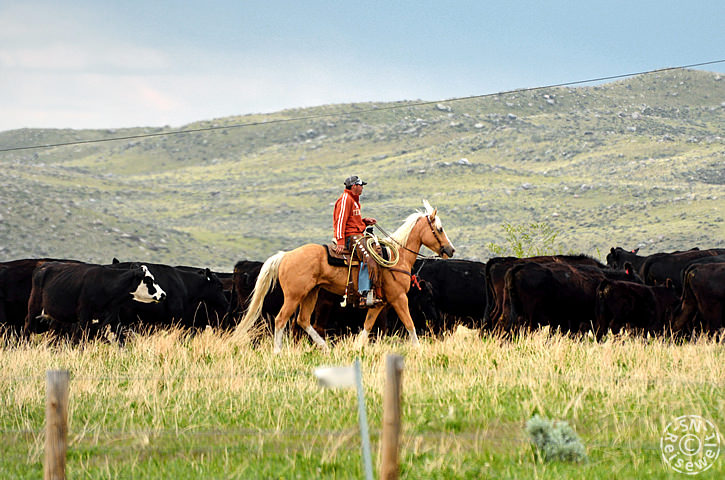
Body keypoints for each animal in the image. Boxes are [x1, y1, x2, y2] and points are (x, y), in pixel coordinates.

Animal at [24, 262, 165, 340]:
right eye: (148, 280)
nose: (163, 294)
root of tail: (44, 265)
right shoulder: (84, 316)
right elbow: (81, 339)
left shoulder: (113, 317)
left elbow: (120, 339)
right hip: (34, 307)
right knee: (28, 326)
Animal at [240, 200, 455, 352]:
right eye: (440, 229)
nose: (450, 250)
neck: (398, 257)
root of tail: (285, 255)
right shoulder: (398, 298)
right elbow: (409, 324)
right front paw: (418, 350)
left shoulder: (379, 303)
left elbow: (367, 325)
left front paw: (357, 348)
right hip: (294, 296)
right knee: (281, 319)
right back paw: (278, 352)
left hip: (311, 293)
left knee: (303, 320)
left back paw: (325, 348)